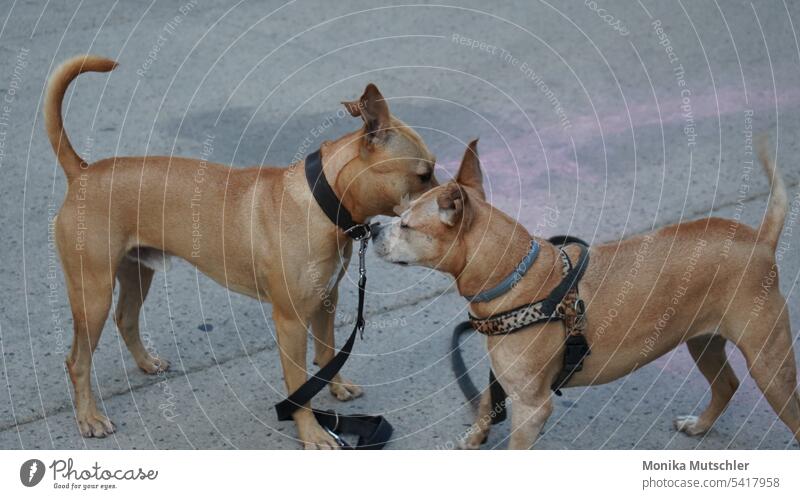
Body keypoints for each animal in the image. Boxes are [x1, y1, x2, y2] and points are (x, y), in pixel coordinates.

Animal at [45, 54, 438, 450]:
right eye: (424, 175)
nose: (449, 200)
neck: (322, 199)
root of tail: (82, 173)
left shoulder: (326, 300)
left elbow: (327, 355)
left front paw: (336, 387)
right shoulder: (291, 320)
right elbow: (299, 387)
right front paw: (312, 432)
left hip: (137, 273)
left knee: (126, 319)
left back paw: (146, 363)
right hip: (92, 294)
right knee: (77, 361)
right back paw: (90, 417)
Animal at [376, 140, 800, 450]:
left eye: (406, 225)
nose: (372, 230)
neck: (513, 274)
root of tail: (760, 240)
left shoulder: (532, 408)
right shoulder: (503, 379)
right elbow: (484, 403)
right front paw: (473, 438)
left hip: (769, 362)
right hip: (703, 341)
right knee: (726, 384)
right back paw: (700, 425)